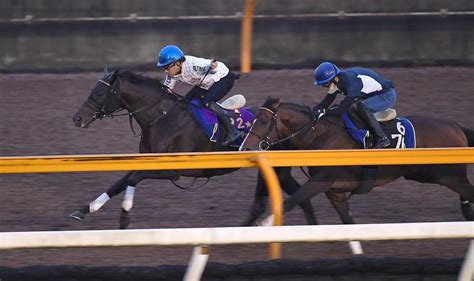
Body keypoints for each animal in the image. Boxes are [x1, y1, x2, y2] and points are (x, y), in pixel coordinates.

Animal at [241, 96, 474, 223]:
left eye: (263, 120)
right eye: (253, 119)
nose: (246, 148)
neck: (321, 134)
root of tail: (455, 126)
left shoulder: (321, 181)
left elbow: (294, 200)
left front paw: (265, 223)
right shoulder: (334, 190)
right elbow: (348, 221)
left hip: (449, 176)